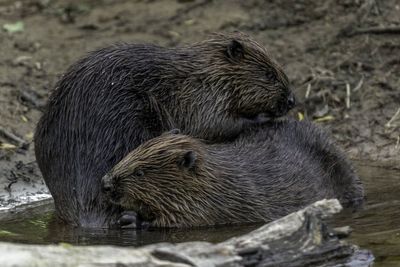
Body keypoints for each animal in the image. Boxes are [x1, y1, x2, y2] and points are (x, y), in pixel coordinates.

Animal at [34, 31, 296, 228]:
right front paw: (263, 118)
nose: (292, 101)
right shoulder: (200, 96)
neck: (204, 72)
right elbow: (213, 125)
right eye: (269, 74)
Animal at [102, 120, 362, 229]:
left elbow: (179, 221)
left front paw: (129, 219)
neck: (216, 177)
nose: (105, 183)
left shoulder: (213, 205)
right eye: (130, 153)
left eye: (140, 172)